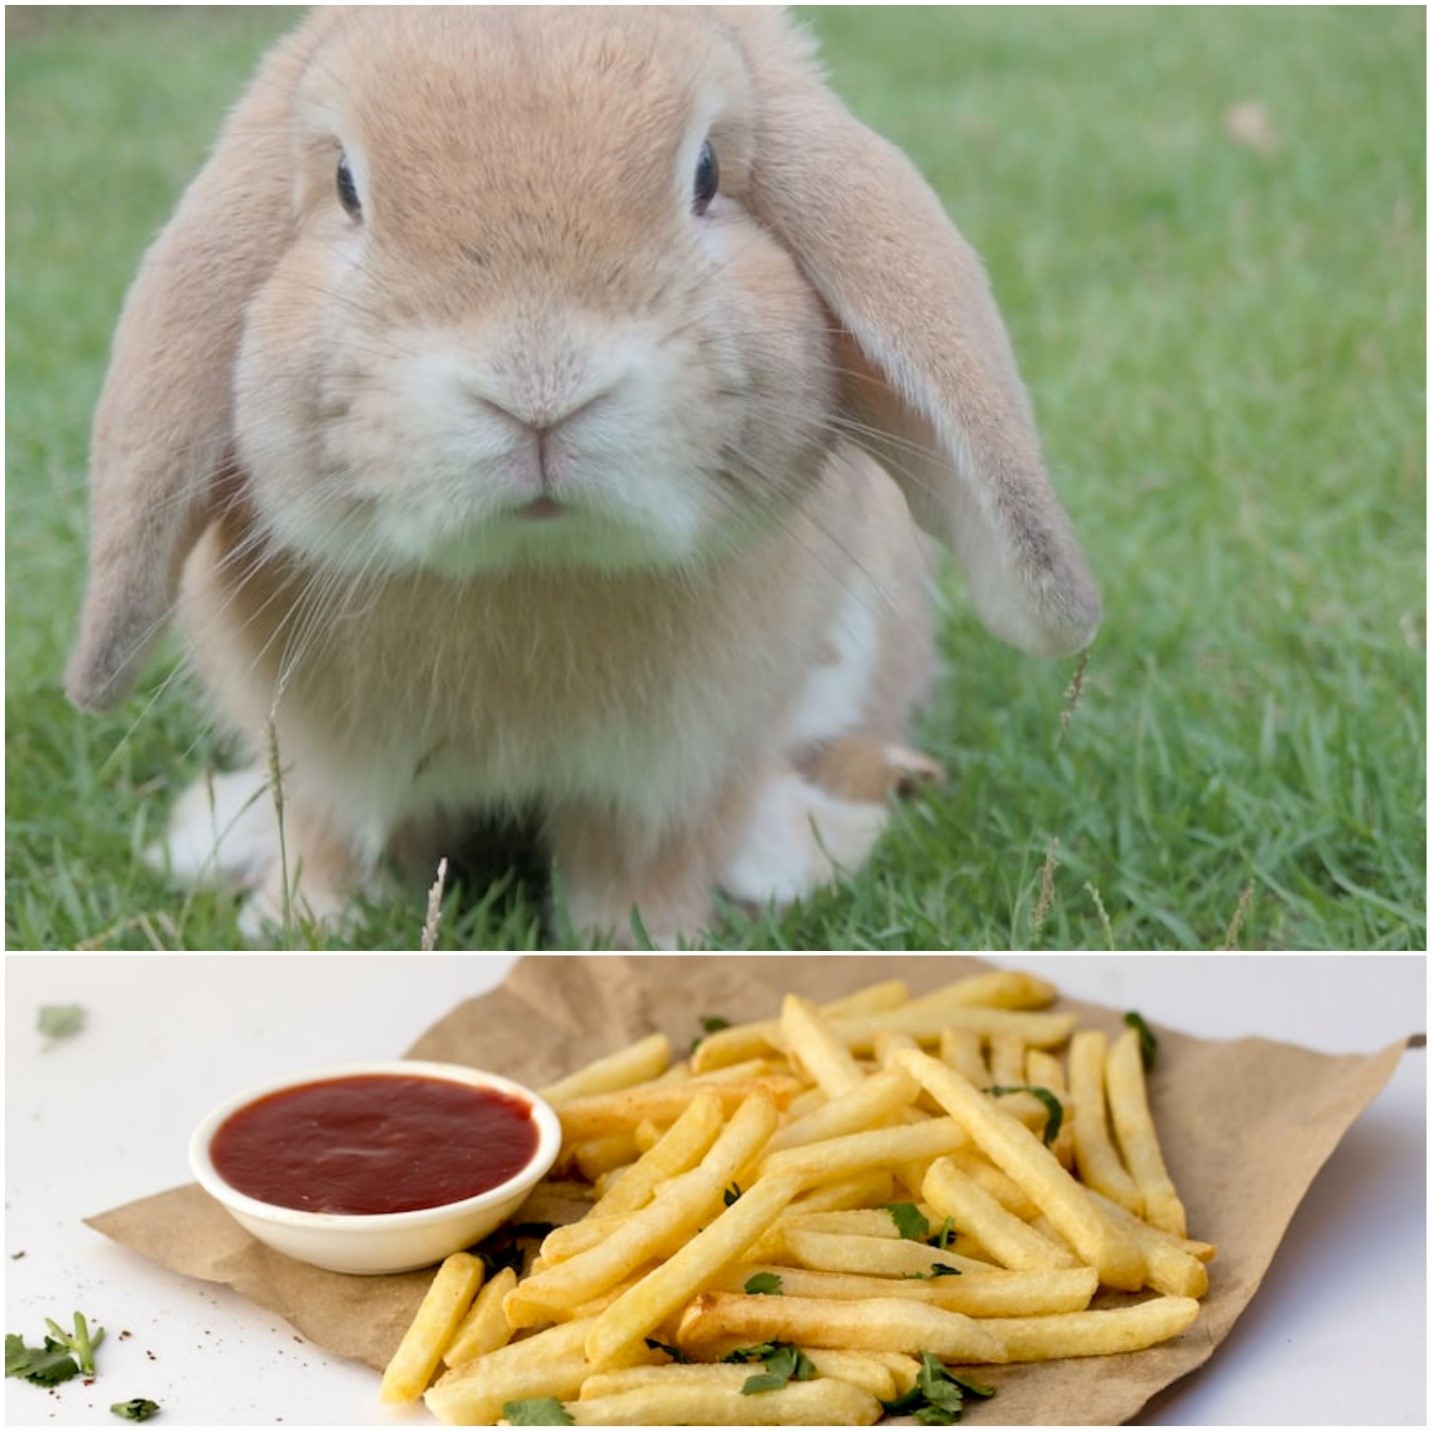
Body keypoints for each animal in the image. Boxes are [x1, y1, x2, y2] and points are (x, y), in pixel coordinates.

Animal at [65, 6, 1100, 948]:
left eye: (707, 173)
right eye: (347, 186)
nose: (538, 388)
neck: (528, 569)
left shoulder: (673, 774)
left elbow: (638, 867)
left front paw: (645, 944)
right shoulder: (322, 764)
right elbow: (331, 840)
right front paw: (297, 923)